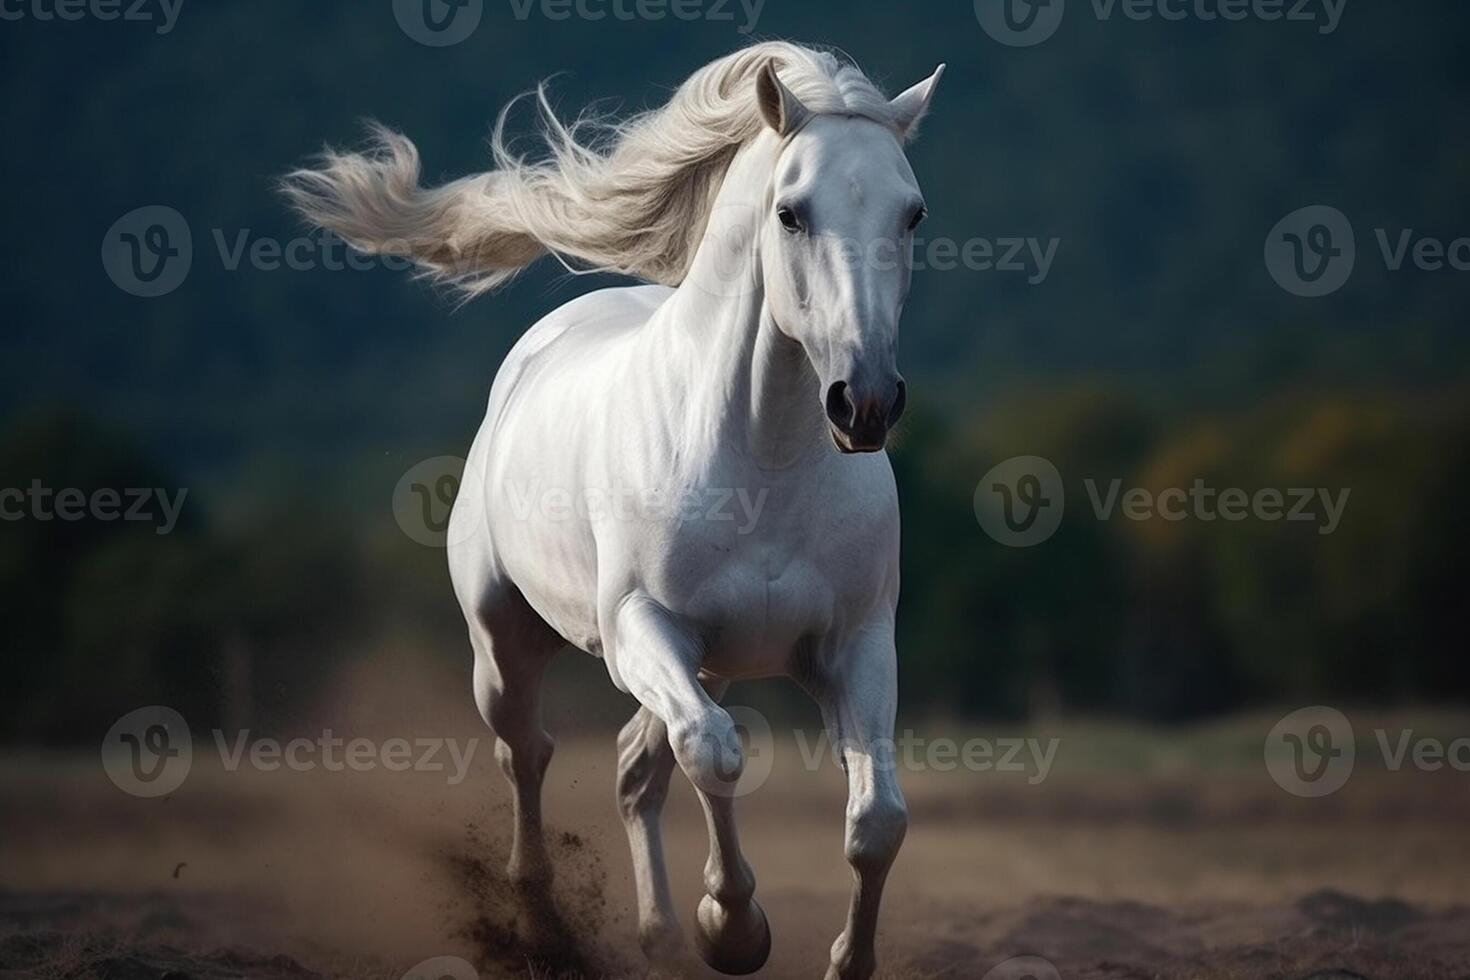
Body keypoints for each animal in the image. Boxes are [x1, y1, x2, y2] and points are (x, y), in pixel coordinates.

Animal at [286, 42, 940, 975]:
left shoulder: (855, 646)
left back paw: (657, 937)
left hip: (700, 665)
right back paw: (541, 920)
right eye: (791, 214)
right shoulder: (642, 626)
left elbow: (876, 820)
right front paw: (734, 929)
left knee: (635, 766)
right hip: (507, 645)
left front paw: (827, 954)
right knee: (529, 752)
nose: (867, 404)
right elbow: (716, 753)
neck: (762, 460)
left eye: (912, 214)